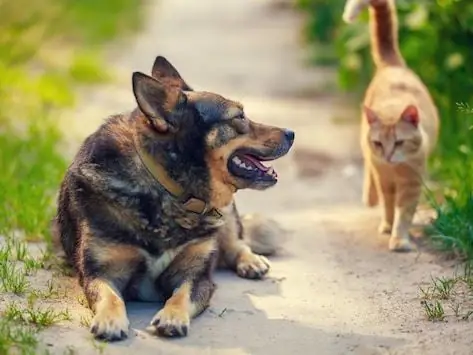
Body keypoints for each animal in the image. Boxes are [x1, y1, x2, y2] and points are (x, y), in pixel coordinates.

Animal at [52, 55, 296, 342]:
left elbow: (182, 295)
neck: (167, 188)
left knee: (236, 242)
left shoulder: (196, 275)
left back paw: (251, 261)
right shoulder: (98, 272)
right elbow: (109, 296)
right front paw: (110, 320)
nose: (291, 133)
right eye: (239, 116)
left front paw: (172, 317)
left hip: (224, 217)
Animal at [340, 0, 438, 252]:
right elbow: (389, 204)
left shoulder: (412, 183)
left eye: (400, 142)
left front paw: (399, 238)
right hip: (369, 157)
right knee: (369, 172)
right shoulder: (383, 176)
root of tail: (393, 66)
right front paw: (388, 225)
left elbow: (404, 212)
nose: (388, 155)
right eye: (379, 143)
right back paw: (370, 197)